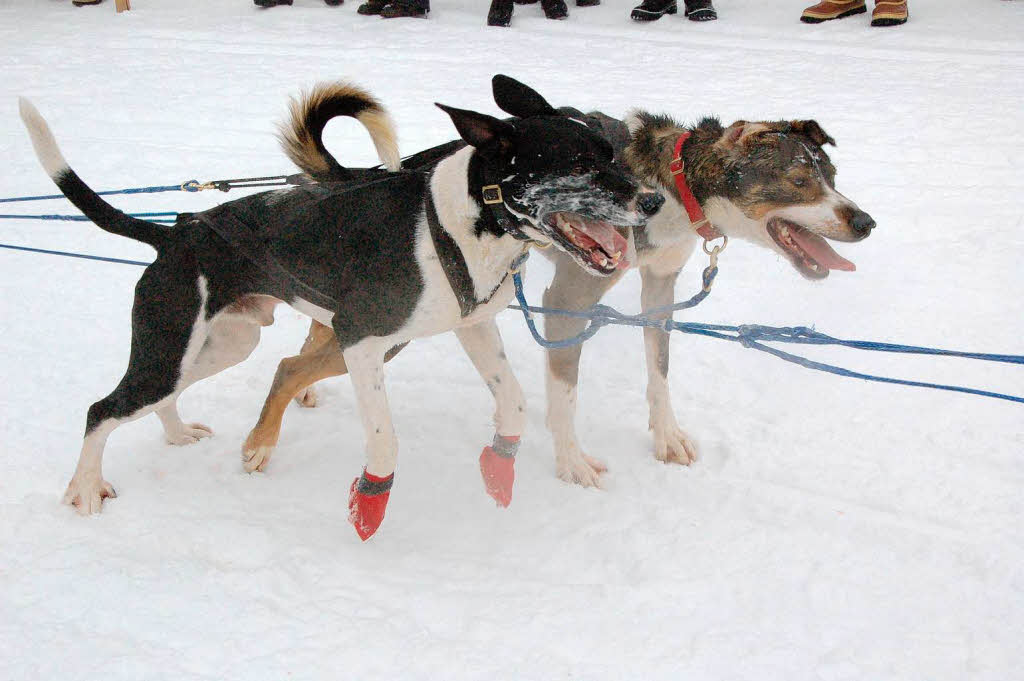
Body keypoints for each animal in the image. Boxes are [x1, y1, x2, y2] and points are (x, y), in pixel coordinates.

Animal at [24, 74, 659, 540]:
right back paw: (84, 489)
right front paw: (369, 504)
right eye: (578, 163)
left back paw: (177, 434)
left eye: (613, 153)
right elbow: (384, 438)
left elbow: (514, 405)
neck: (463, 222)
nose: (653, 201)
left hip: (222, 345)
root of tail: (177, 231)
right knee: (101, 409)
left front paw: (499, 471)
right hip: (169, 348)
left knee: (163, 396)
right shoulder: (361, 342)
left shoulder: (473, 326)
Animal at [239, 107, 872, 483]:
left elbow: (659, 372)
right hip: (396, 332)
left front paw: (666, 436)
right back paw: (264, 440)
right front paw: (570, 462)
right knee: (294, 362)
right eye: (799, 181)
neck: (668, 185)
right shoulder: (570, 298)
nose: (865, 222)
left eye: (833, 178)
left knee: (313, 340)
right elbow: (565, 396)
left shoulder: (660, 291)